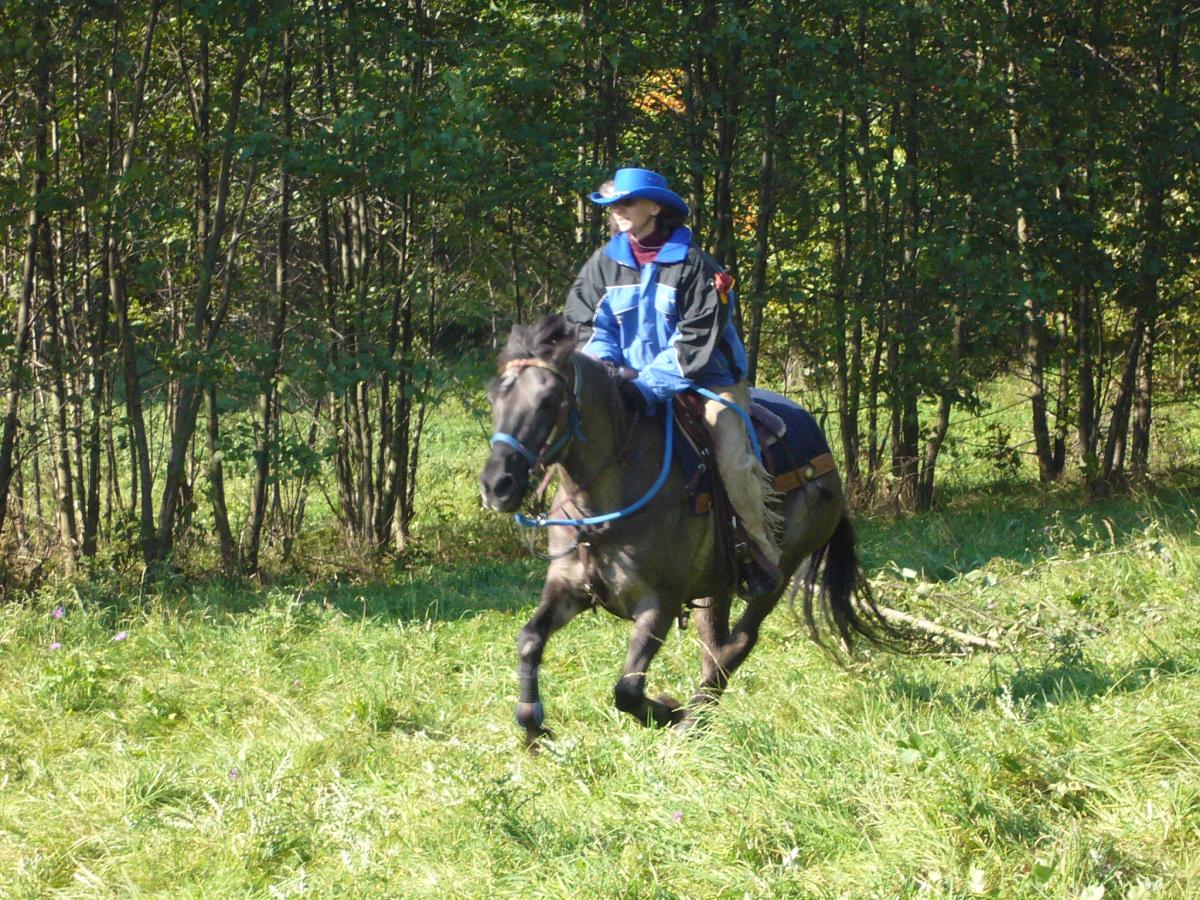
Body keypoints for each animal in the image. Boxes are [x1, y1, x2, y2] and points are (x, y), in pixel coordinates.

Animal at [482, 314, 897, 748]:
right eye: (494, 399)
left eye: (547, 400)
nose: (496, 486)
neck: (607, 504)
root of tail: (825, 455)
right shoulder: (568, 588)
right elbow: (529, 640)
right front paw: (532, 724)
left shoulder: (660, 603)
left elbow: (627, 689)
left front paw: (668, 709)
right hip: (716, 587)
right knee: (715, 644)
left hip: (781, 570)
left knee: (740, 641)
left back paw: (693, 716)